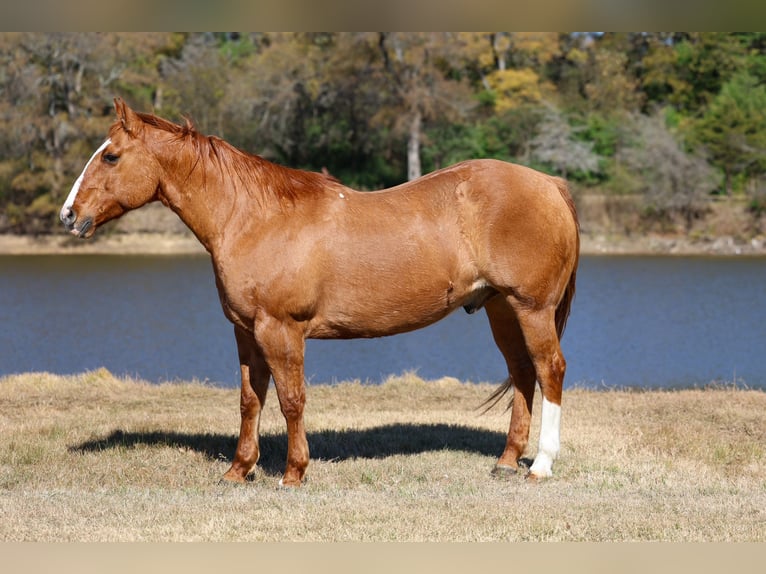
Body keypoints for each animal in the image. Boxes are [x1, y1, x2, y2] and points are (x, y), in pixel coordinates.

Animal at [60, 98, 579, 486]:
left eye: (110, 156)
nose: (69, 215)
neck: (255, 218)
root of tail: (549, 184)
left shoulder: (280, 330)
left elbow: (292, 400)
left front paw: (293, 473)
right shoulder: (246, 332)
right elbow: (251, 400)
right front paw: (238, 470)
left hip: (532, 308)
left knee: (549, 370)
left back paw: (541, 465)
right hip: (501, 309)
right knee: (523, 373)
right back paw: (506, 462)